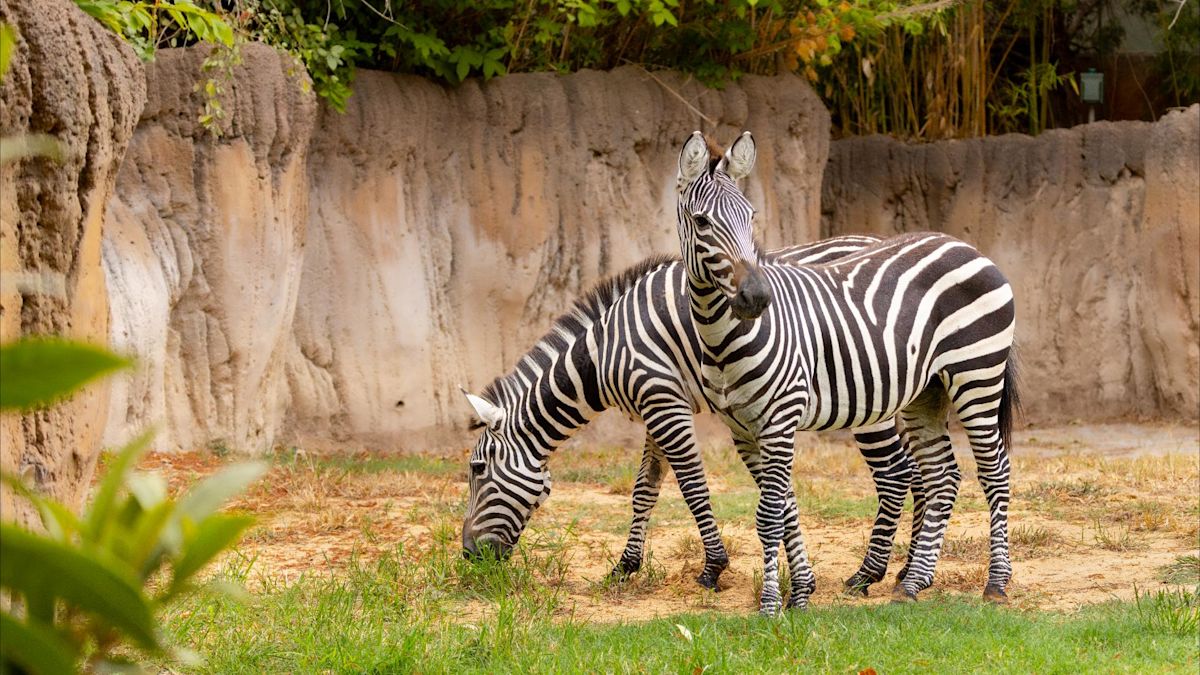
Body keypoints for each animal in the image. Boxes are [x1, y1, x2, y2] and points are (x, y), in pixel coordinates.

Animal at [460, 236, 925, 595]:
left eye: (477, 468)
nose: (468, 555)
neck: (603, 353)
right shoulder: (657, 404)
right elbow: (644, 488)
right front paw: (625, 566)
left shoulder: (663, 400)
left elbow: (692, 486)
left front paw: (713, 568)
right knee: (920, 472)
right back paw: (908, 571)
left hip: (869, 398)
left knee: (894, 474)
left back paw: (869, 574)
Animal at [673, 131, 1019, 614]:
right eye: (702, 222)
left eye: (751, 217)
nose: (757, 297)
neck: (722, 339)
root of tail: (965, 247)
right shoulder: (742, 427)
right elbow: (784, 508)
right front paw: (800, 593)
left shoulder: (780, 417)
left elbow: (769, 516)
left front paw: (771, 606)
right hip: (926, 392)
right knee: (943, 475)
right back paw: (913, 582)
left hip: (977, 374)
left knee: (995, 471)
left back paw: (996, 582)